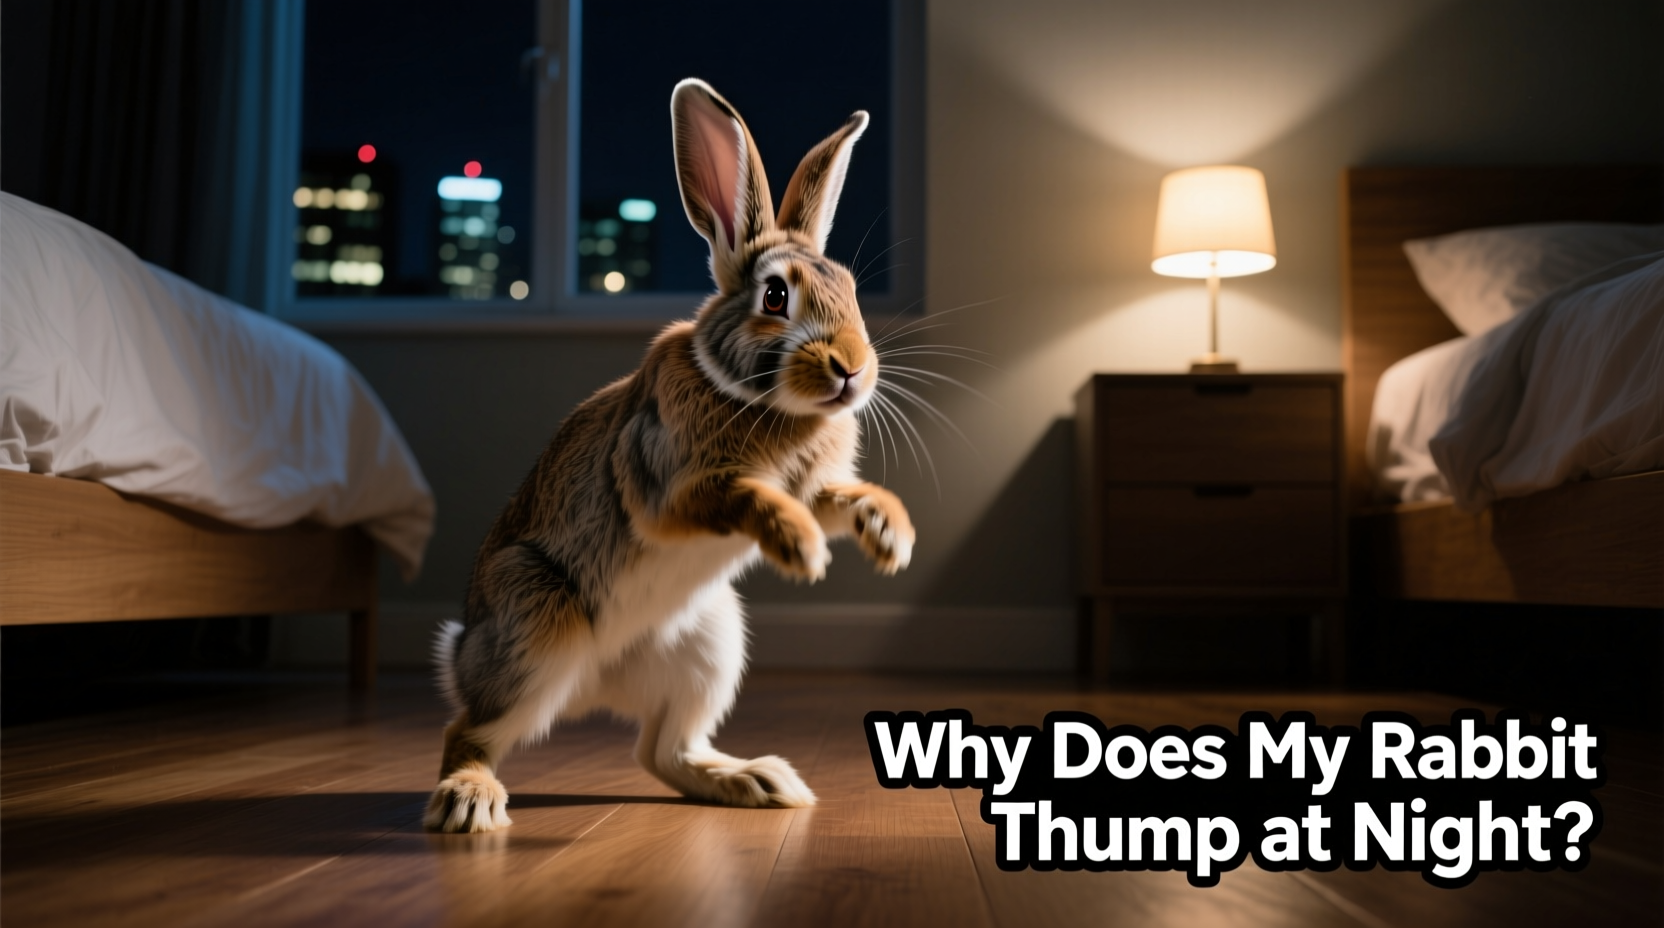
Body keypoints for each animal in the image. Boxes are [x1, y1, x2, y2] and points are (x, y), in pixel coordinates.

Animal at [423, 78, 914, 833]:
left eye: (853, 292)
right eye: (776, 296)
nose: (853, 370)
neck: (765, 404)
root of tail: (590, 687)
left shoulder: (813, 486)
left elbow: (840, 499)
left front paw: (891, 537)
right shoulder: (666, 483)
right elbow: (742, 494)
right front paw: (800, 547)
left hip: (709, 648)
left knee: (661, 749)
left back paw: (758, 781)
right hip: (533, 624)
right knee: (470, 729)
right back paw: (468, 801)